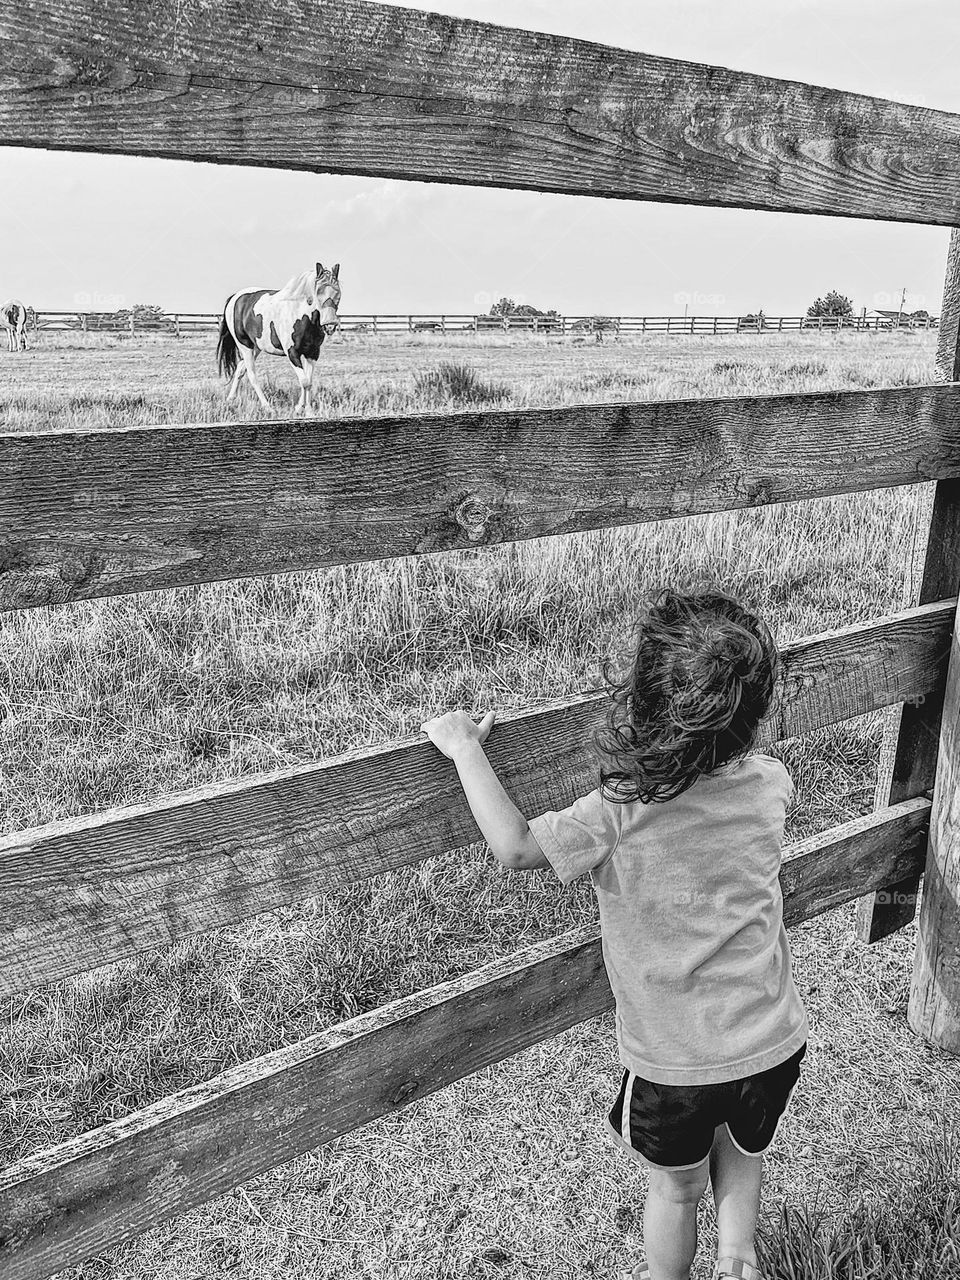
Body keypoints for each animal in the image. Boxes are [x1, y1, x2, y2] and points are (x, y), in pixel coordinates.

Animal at [217, 261, 343, 414]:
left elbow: (308, 381)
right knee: (251, 374)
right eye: (318, 291)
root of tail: (235, 297)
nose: (330, 325)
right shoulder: (292, 353)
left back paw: (230, 400)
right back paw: (267, 407)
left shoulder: (312, 353)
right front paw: (303, 410)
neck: (301, 316)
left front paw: (304, 409)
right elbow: (305, 381)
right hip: (244, 346)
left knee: (240, 369)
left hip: (256, 347)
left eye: (338, 292)